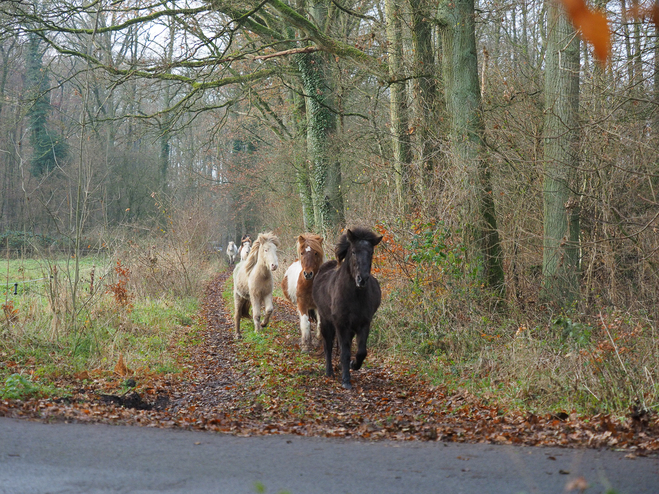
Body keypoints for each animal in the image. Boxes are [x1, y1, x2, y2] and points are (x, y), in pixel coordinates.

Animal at [314, 228, 384, 390]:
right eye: (353, 252)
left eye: (371, 252)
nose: (362, 279)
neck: (354, 296)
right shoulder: (341, 325)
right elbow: (344, 352)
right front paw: (346, 380)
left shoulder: (364, 324)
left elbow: (361, 351)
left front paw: (354, 364)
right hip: (326, 321)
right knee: (328, 346)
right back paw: (329, 372)